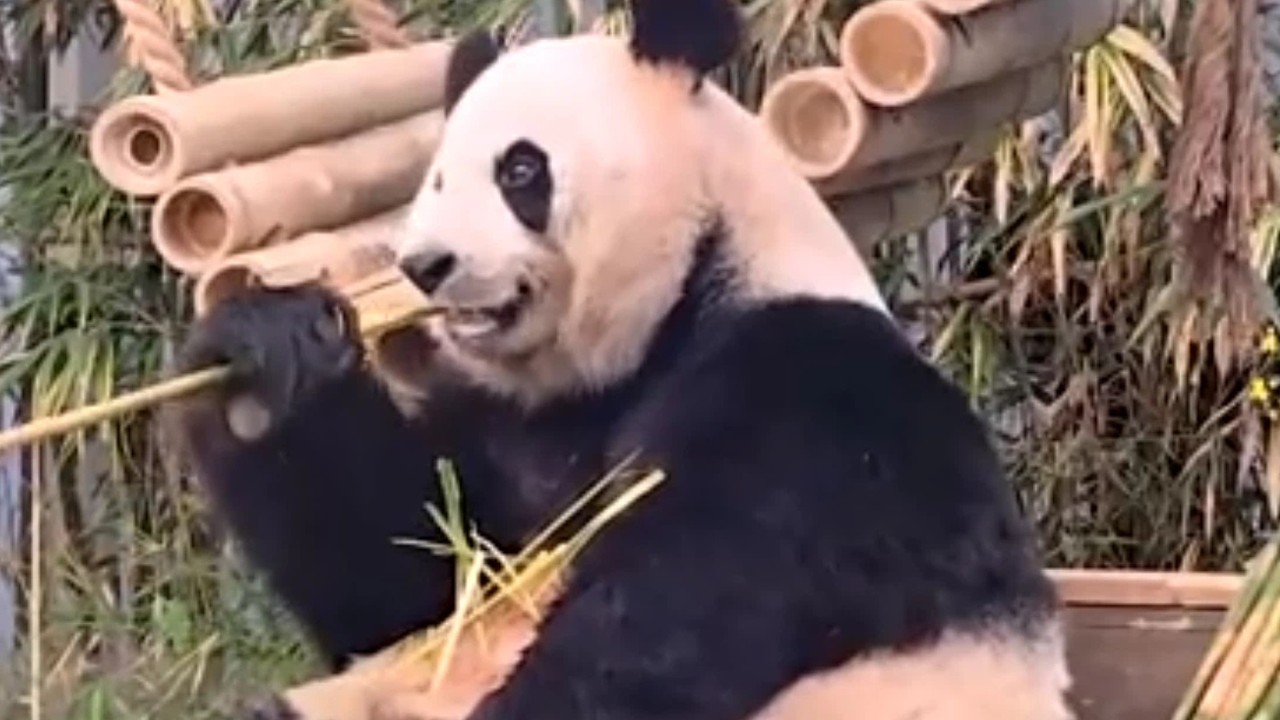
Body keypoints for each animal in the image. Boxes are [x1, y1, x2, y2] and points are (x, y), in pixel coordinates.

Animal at [165, 0, 1074, 718]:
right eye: (436, 178)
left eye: (519, 169)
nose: (426, 264)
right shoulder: (516, 430)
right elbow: (406, 580)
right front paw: (269, 356)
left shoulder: (811, 397)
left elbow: (681, 604)